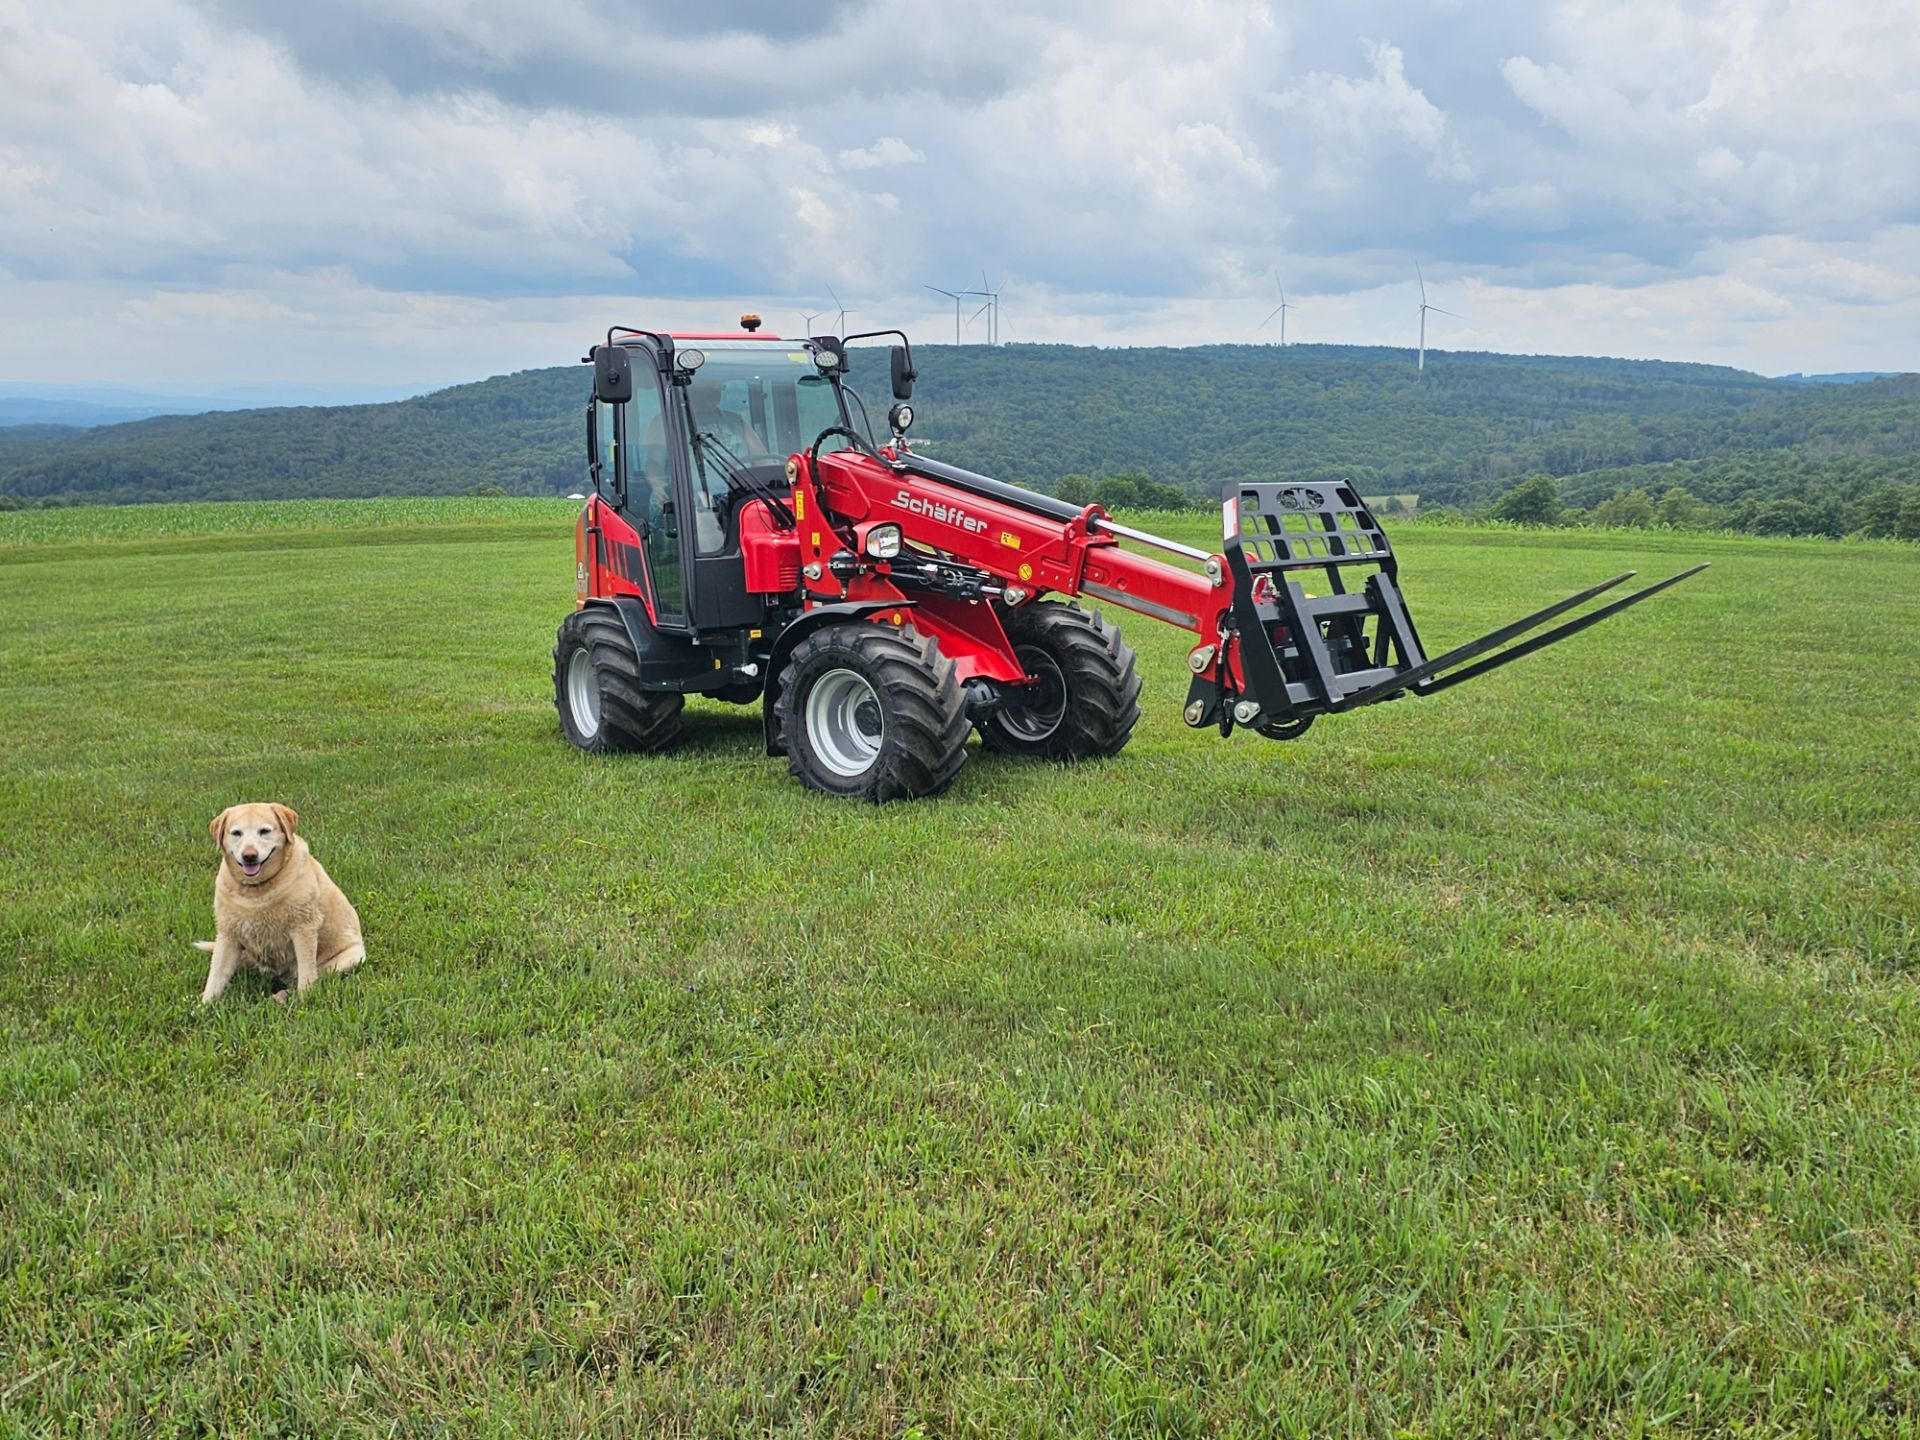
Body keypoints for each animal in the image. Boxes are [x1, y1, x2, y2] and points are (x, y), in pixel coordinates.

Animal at [198, 802, 366, 1006]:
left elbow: (306, 975)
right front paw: (204, 1006)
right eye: (236, 833)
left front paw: (305, 1001)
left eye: (264, 831)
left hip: (348, 959)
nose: (249, 856)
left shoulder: (303, 928)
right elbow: (215, 976)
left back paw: (281, 996)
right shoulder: (227, 934)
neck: (256, 891)